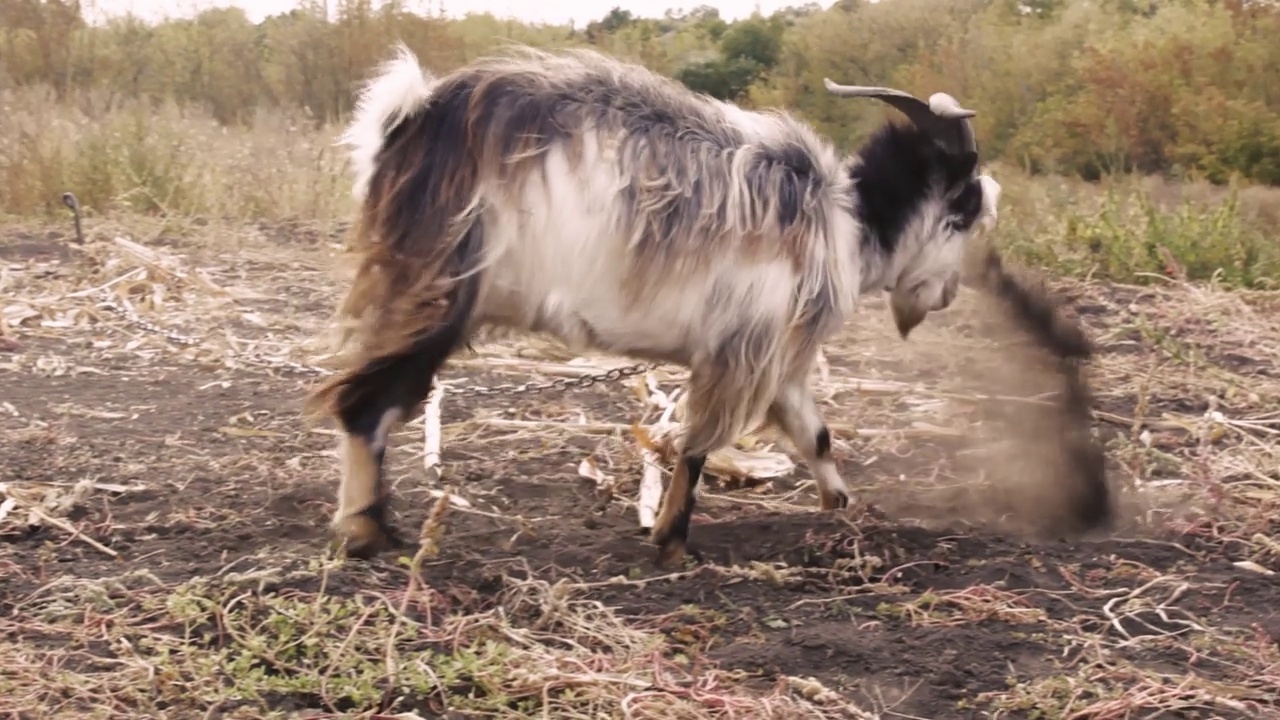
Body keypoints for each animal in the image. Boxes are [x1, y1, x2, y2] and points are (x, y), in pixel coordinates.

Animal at [304, 43, 1003, 566]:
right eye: (965, 209)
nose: (945, 295)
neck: (849, 224)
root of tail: (409, 117)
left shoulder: (777, 361)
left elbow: (816, 434)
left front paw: (842, 510)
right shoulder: (739, 351)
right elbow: (697, 446)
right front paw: (671, 542)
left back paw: (375, 525)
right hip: (440, 290)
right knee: (366, 403)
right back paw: (363, 532)